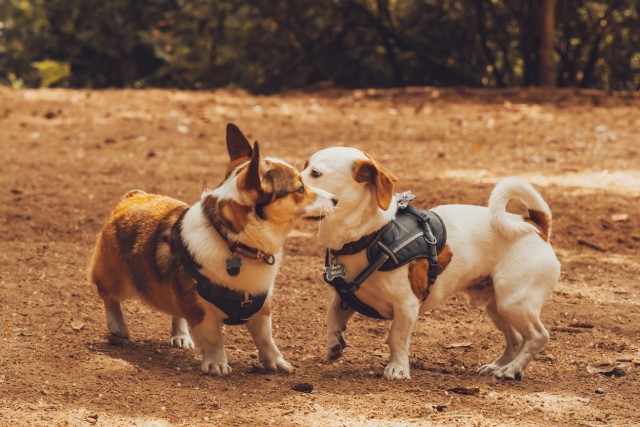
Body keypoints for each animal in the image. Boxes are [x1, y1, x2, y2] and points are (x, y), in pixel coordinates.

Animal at [90, 125, 338, 376]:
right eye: (300, 189)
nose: (335, 199)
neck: (235, 245)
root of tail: (133, 197)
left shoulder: (262, 309)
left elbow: (266, 340)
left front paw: (276, 363)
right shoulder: (201, 313)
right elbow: (214, 340)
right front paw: (217, 364)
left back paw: (180, 335)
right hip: (118, 281)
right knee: (109, 297)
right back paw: (118, 326)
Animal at [302, 148, 556, 382]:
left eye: (315, 173)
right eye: (304, 167)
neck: (371, 236)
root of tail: (536, 226)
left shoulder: (406, 305)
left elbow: (396, 337)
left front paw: (397, 368)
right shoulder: (344, 298)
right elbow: (332, 318)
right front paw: (334, 345)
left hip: (513, 303)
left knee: (538, 336)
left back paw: (512, 369)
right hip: (498, 307)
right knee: (515, 339)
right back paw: (499, 366)